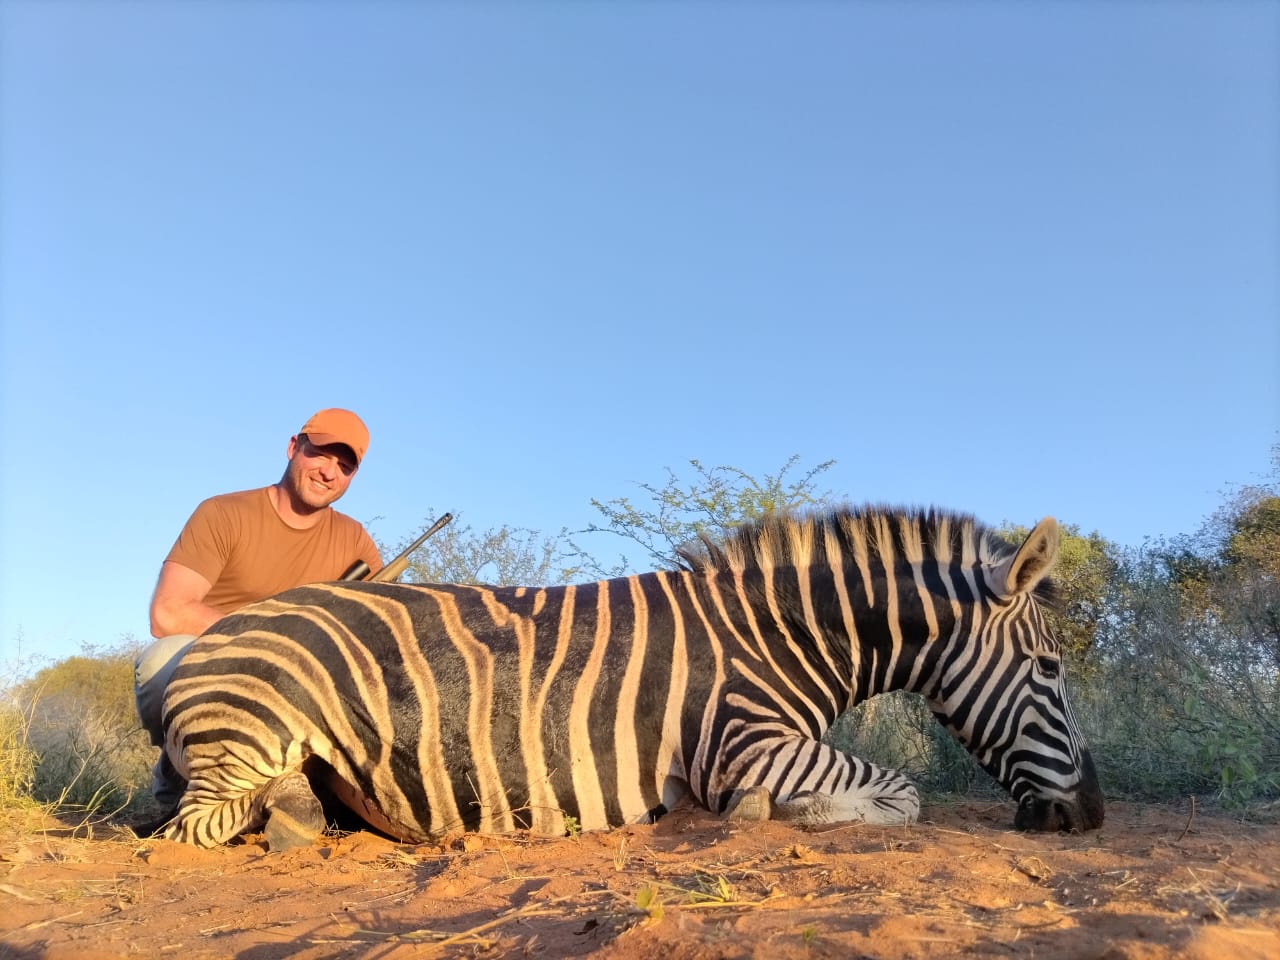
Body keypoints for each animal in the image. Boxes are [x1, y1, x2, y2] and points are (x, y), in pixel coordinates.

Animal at [159, 505, 1104, 849]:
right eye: (1050, 668)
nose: (1091, 814)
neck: (778, 635)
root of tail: (208, 642)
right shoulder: (744, 745)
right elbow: (903, 793)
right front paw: (773, 813)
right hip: (247, 743)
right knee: (198, 828)